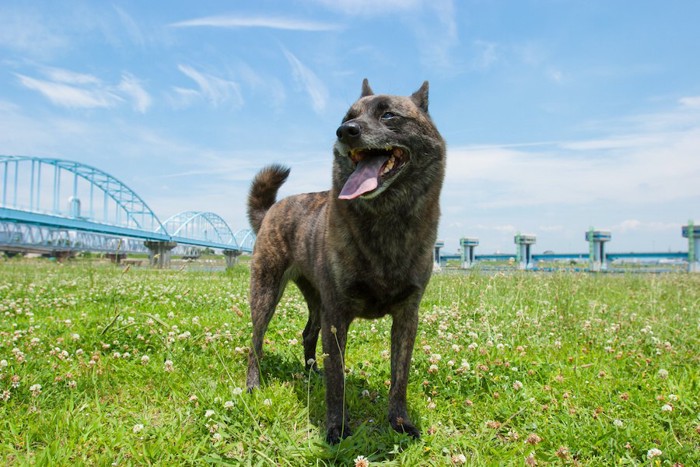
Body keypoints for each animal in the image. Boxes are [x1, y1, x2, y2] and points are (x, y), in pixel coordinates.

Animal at [243, 78, 446, 444]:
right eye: (348, 117)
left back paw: (312, 374)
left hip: (315, 297)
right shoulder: (337, 315)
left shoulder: (407, 316)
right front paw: (337, 428)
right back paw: (254, 385)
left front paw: (400, 422)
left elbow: (399, 378)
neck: (385, 219)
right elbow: (337, 381)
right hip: (266, 291)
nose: (344, 131)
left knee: (308, 333)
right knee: (256, 342)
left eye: (389, 115)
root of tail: (272, 210)